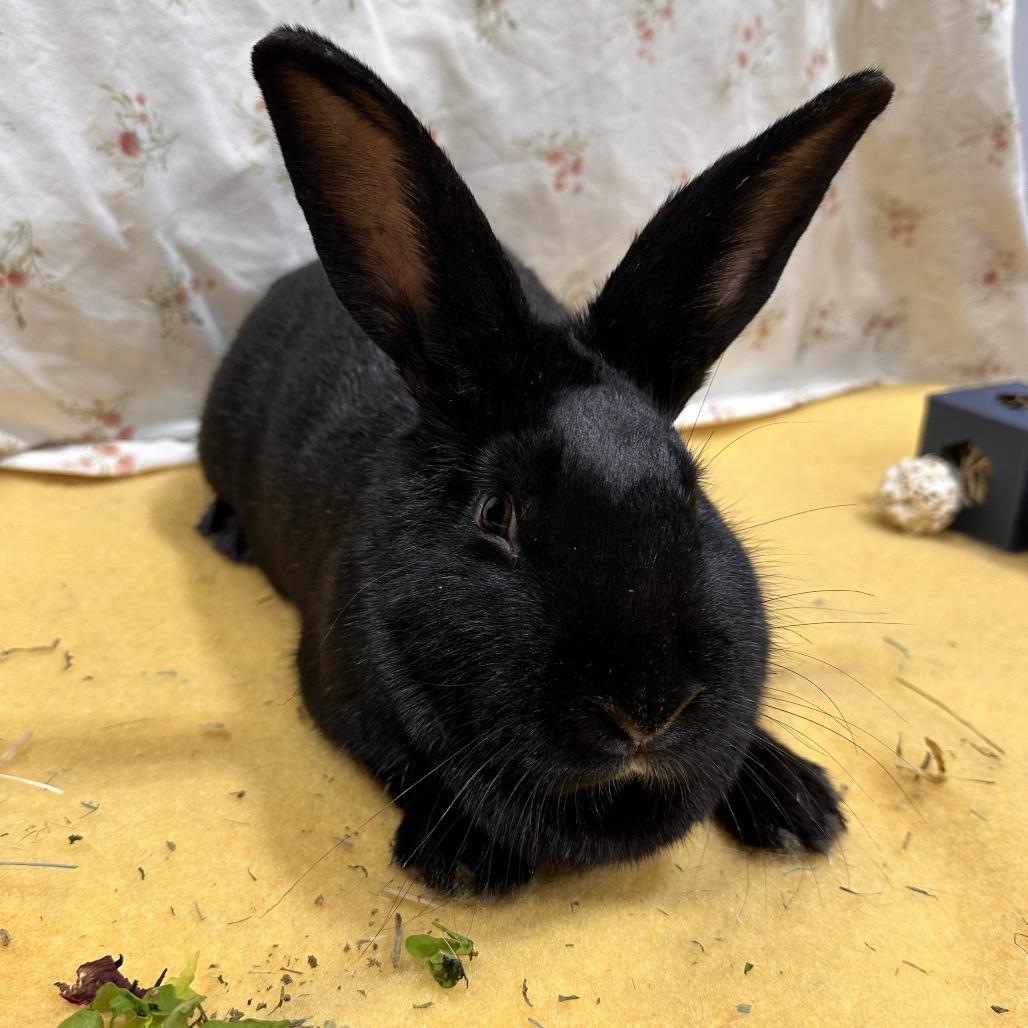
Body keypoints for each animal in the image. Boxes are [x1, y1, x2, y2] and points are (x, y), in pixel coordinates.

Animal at [198, 26, 893, 897]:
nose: (646, 713)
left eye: (693, 496)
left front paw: (802, 805)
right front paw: (468, 859)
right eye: (497, 515)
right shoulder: (334, 688)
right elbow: (405, 757)